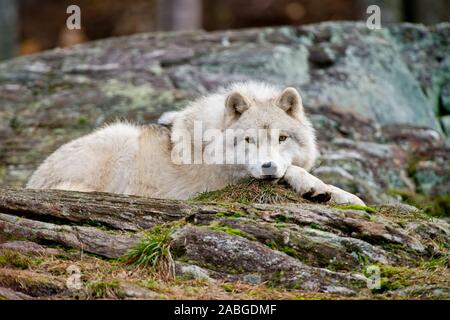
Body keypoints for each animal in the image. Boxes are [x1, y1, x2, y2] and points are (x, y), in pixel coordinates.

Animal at [26, 80, 366, 205]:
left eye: (281, 138)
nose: (267, 166)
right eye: (248, 140)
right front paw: (318, 187)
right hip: (121, 136)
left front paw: (343, 196)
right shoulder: (225, 181)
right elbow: (293, 171)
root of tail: (33, 182)